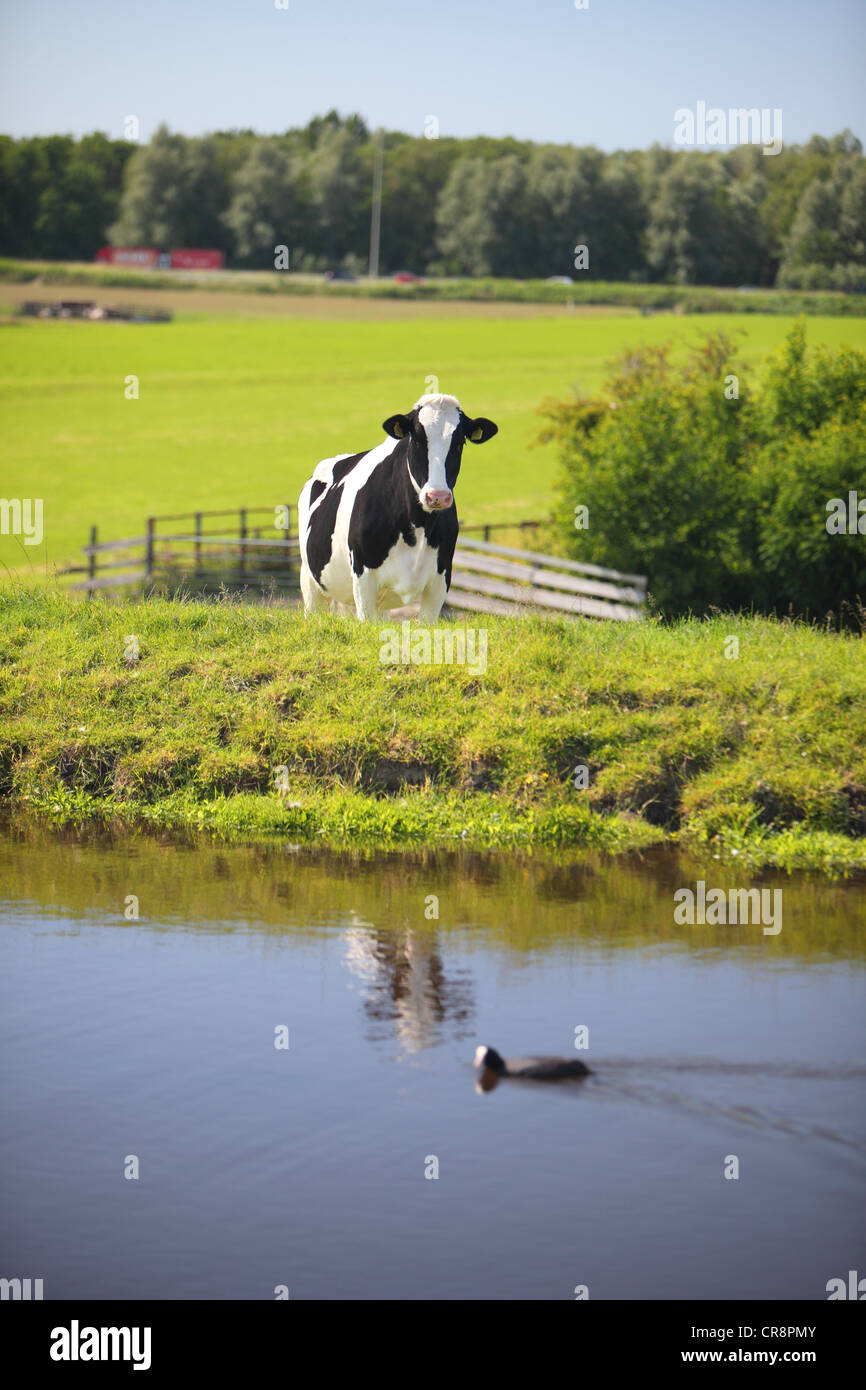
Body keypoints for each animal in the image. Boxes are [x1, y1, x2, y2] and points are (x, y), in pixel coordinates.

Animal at [297, 393, 498, 621]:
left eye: (459, 442)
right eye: (417, 439)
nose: (437, 496)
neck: (417, 526)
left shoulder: (441, 577)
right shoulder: (363, 576)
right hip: (310, 580)